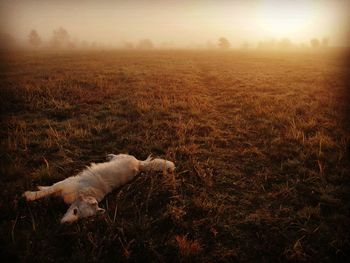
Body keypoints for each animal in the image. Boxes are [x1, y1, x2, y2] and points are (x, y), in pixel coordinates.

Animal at [22, 155, 175, 225]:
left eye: (80, 218)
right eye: (75, 211)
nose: (65, 224)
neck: (83, 193)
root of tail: (139, 164)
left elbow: (48, 191)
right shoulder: (63, 184)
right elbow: (45, 191)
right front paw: (30, 195)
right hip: (123, 156)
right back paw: (110, 155)